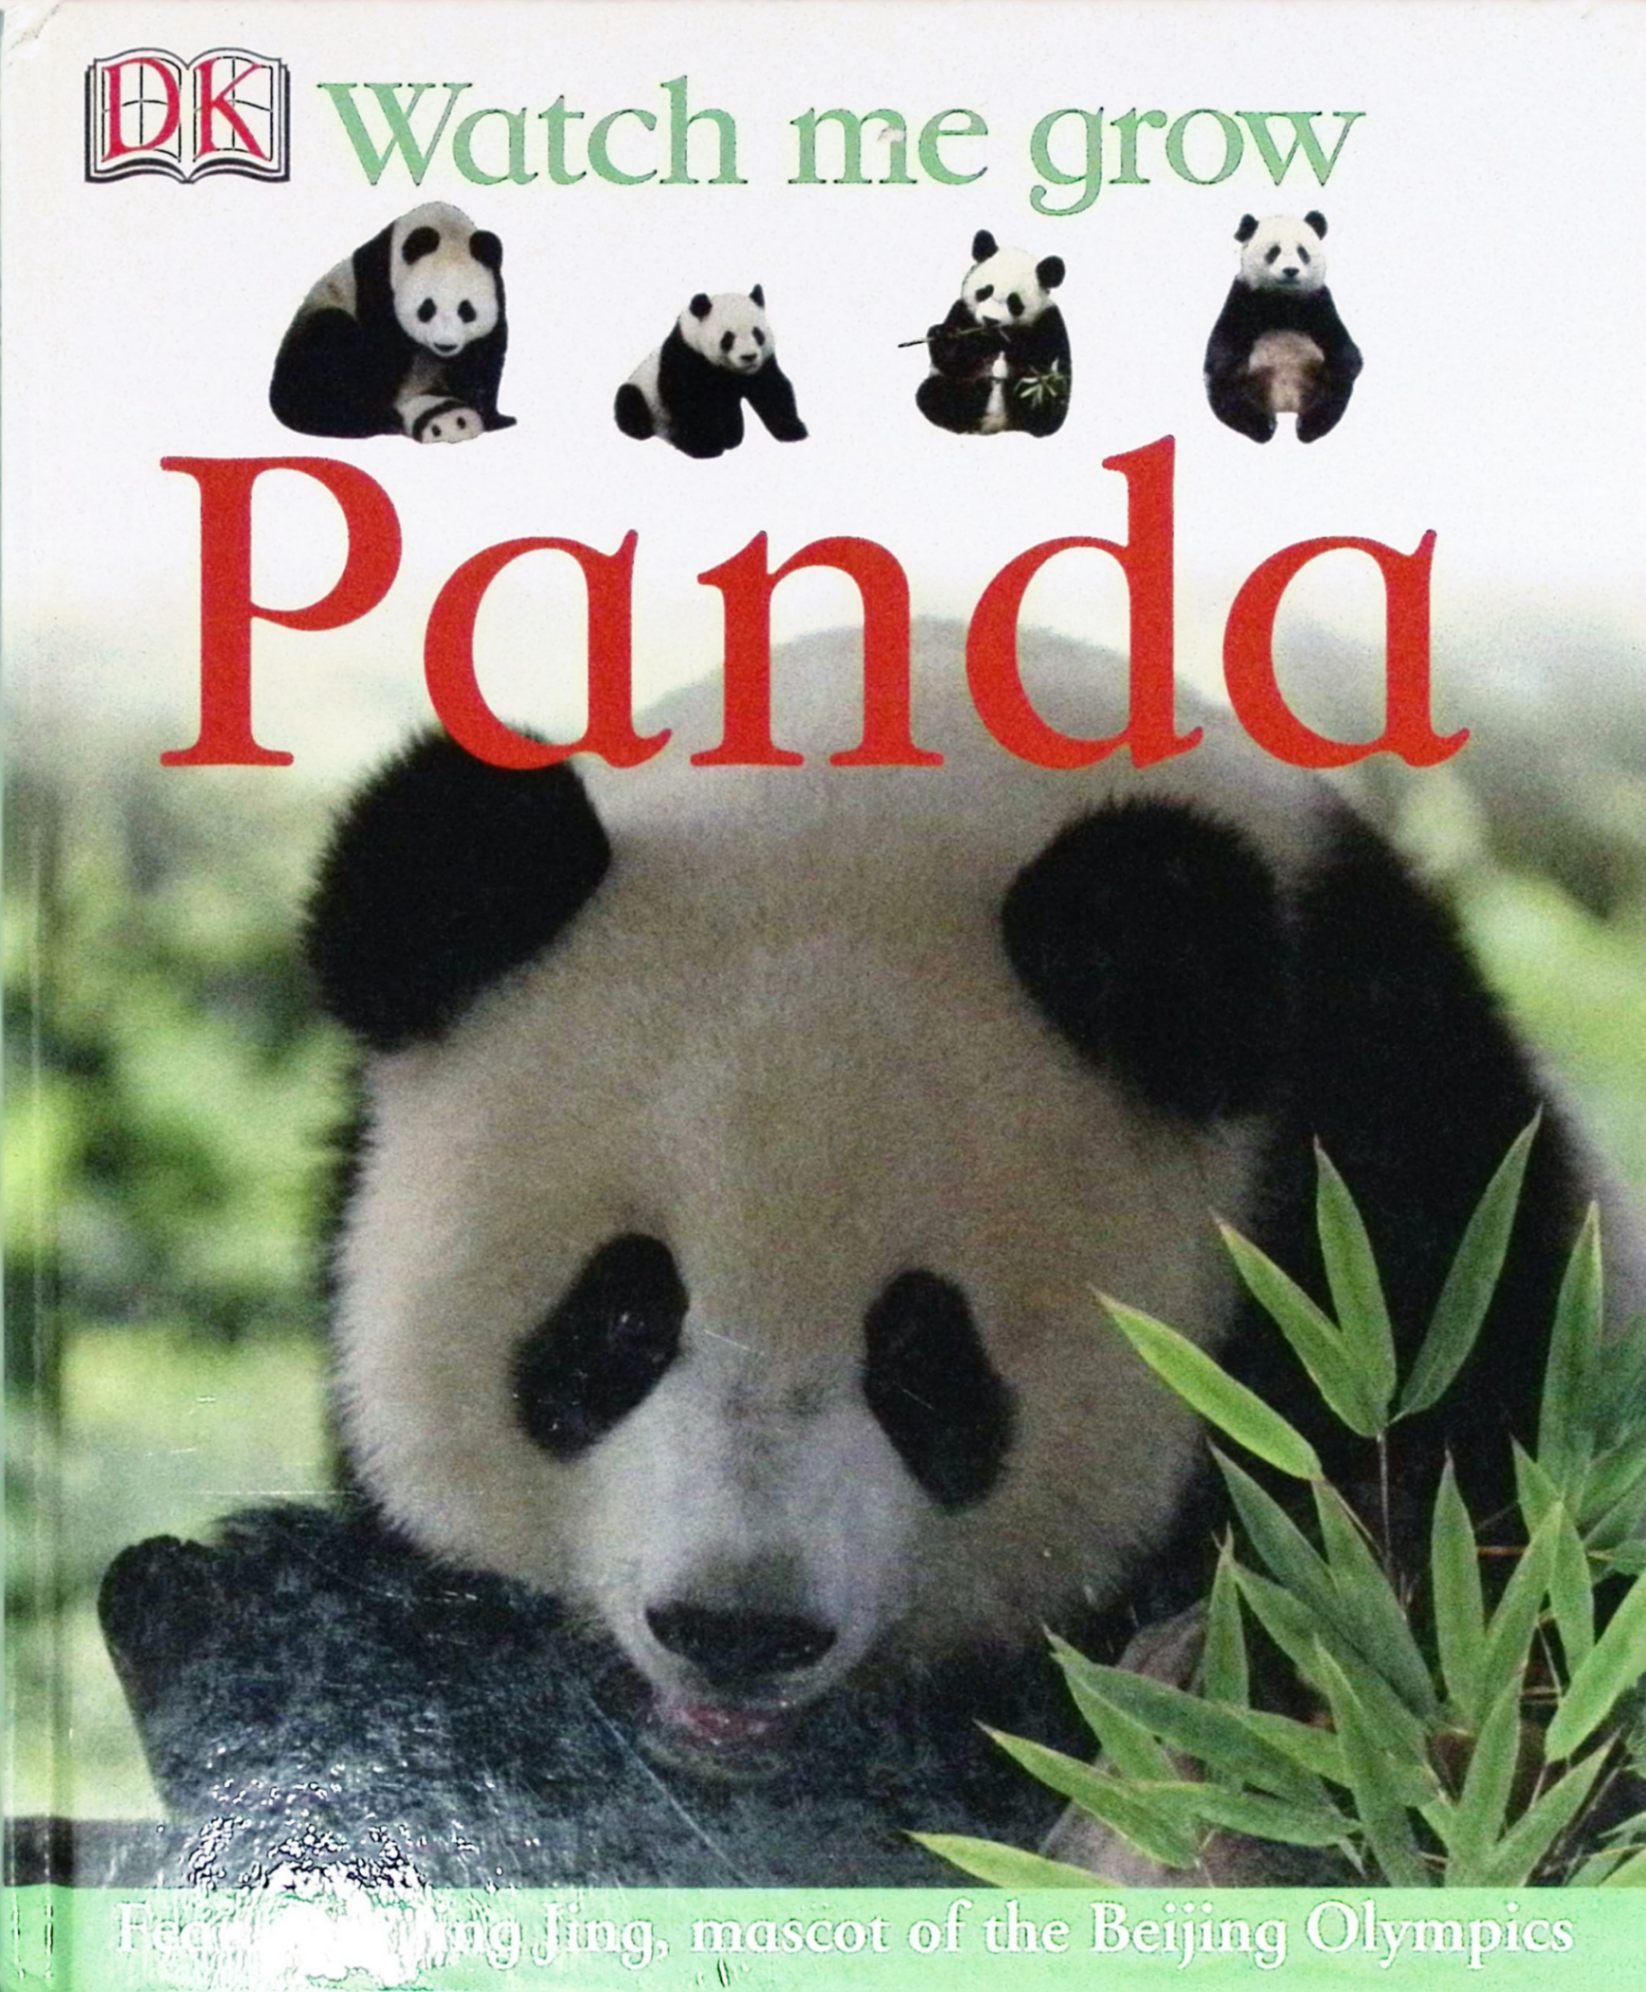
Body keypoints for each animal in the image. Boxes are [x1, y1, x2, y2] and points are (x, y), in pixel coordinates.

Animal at [269, 202, 515, 445]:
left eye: (467, 310)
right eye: (427, 309)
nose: (445, 345)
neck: (444, 230)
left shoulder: (496, 289)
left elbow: (486, 355)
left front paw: (492, 417)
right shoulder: (379, 288)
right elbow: (380, 355)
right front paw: (383, 413)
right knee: (327, 342)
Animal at [613, 288, 807, 458]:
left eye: (757, 333)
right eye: (728, 338)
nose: (749, 356)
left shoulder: (762, 364)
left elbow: (772, 389)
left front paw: (793, 430)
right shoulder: (685, 355)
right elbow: (688, 401)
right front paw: (704, 447)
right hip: (643, 394)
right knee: (629, 401)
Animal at [916, 230, 1071, 438]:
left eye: (1014, 302)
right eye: (985, 291)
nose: (990, 320)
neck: (994, 336)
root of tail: (997, 427)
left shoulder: (1048, 321)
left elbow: (1040, 359)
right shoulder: (963, 313)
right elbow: (951, 362)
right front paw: (945, 337)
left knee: (1045, 405)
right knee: (935, 394)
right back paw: (974, 395)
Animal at [1204, 211, 1362, 444]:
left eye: (1302, 252)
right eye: (1274, 251)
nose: (1290, 270)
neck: (1283, 300)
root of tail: (1286, 405)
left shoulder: (1319, 304)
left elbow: (1345, 350)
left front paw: (1346, 364)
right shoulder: (1242, 298)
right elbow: (1222, 348)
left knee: (1332, 397)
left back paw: (1306, 427)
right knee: (1229, 397)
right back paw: (1264, 427)